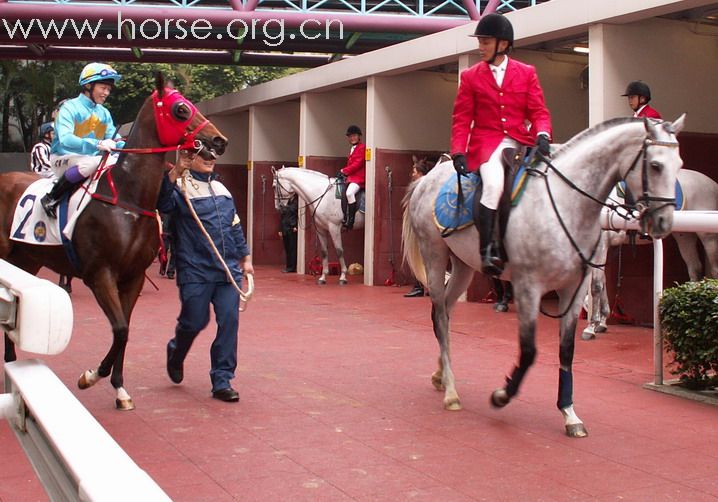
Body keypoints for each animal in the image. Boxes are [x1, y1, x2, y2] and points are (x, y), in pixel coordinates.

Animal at [0, 75, 228, 412]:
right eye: (181, 109)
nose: (219, 140)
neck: (128, 201)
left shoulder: (132, 277)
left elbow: (126, 330)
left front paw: (120, 389)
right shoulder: (100, 275)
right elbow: (119, 329)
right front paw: (90, 376)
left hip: (26, 260)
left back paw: (10, 360)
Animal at [584, 170, 718, 342]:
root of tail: (712, 183)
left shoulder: (601, 244)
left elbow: (596, 285)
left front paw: (591, 327)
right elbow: (602, 282)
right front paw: (601, 322)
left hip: (708, 237)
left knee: (714, 270)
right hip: (684, 236)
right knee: (695, 269)